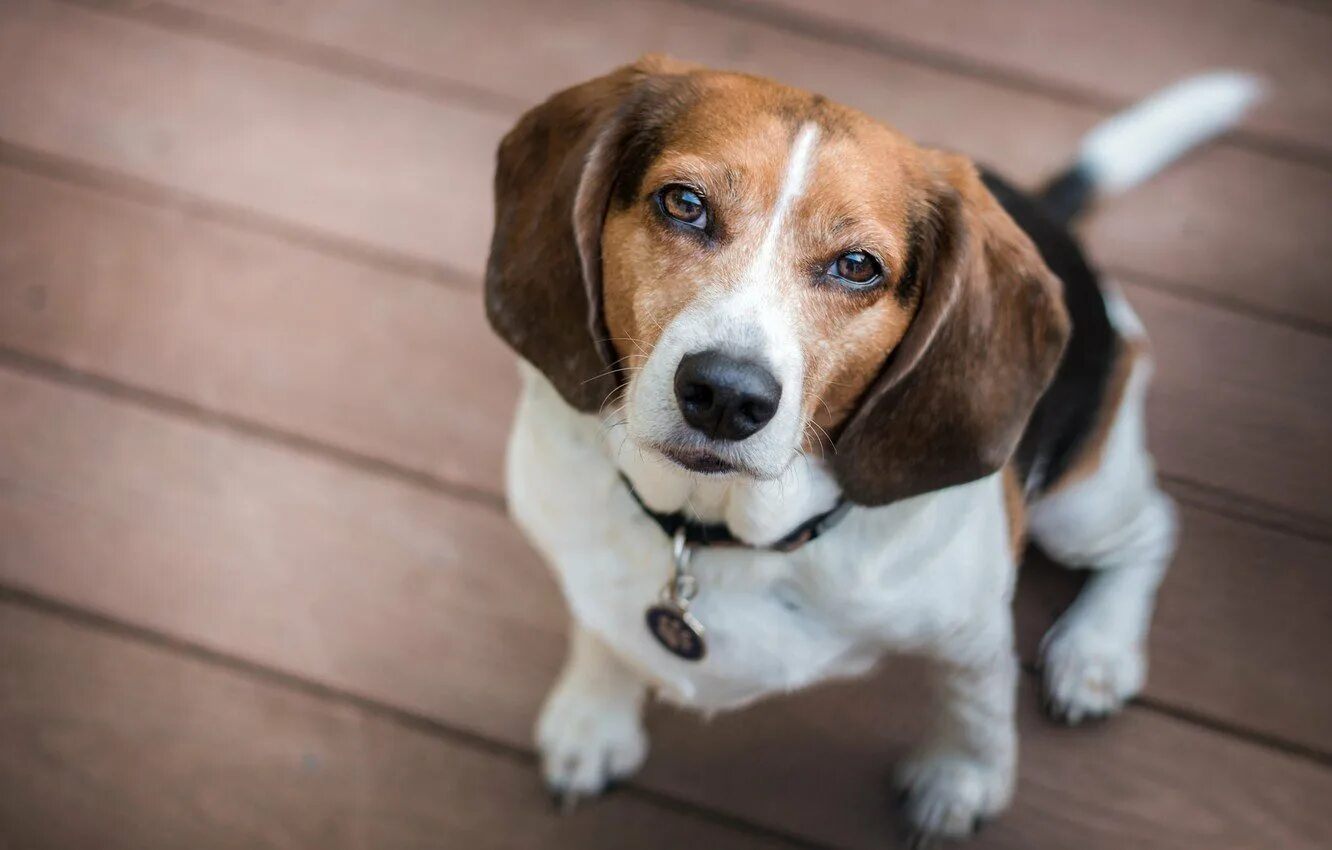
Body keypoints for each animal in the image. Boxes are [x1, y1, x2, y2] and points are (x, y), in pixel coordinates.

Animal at [487, 59, 1257, 847]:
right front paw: (593, 717)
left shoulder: (973, 629)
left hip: (1080, 502)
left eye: (857, 265)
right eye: (684, 204)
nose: (727, 395)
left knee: (1154, 528)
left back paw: (1096, 650)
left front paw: (960, 781)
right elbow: (601, 631)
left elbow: (976, 709)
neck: (719, 533)